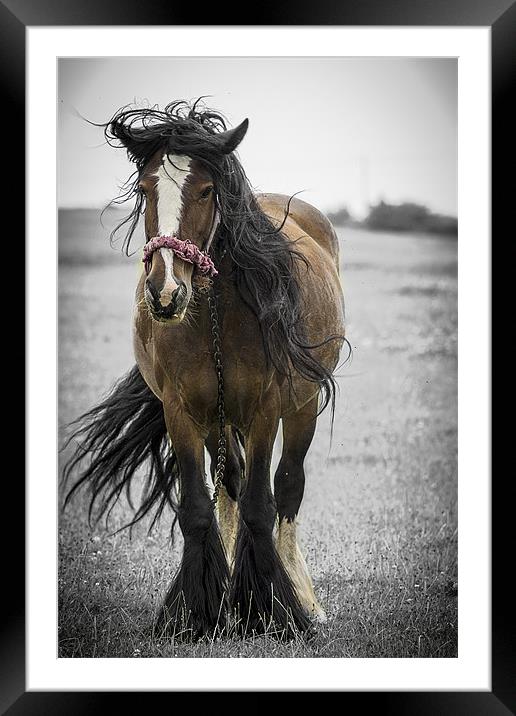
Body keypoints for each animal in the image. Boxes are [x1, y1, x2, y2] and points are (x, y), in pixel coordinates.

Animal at [64, 99, 346, 636]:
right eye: (146, 188)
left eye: (207, 190)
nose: (165, 292)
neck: (214, 313)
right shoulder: (181, 411)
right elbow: (199, 506)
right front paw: (197, 612)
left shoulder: (265, 410)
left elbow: (262, 505)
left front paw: (273, 610)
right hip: (219, 419)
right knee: (231, 482)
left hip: (301, 408)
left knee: (288, 487)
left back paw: (304, 598)